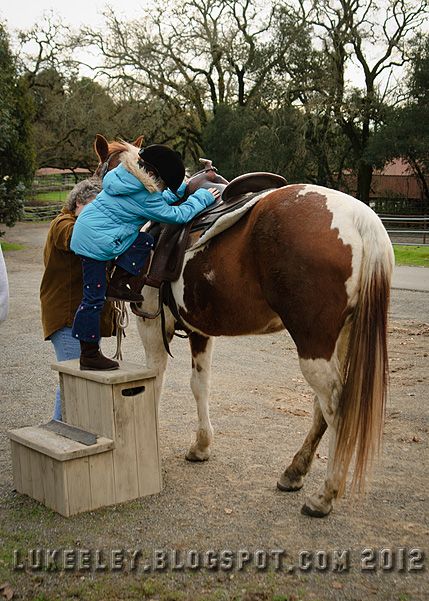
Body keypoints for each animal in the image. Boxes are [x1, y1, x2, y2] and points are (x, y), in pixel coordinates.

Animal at [93, 135, 394, 516]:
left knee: (335, 407)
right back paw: (294, 472)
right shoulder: (199, 331)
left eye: (100, 173)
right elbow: (200, 385)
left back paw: (325, 495)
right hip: (341, 339)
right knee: (322, 407)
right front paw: (201, 446)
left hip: (314, 345)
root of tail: (360, 218)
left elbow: (155, 381)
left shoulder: (151, 324)